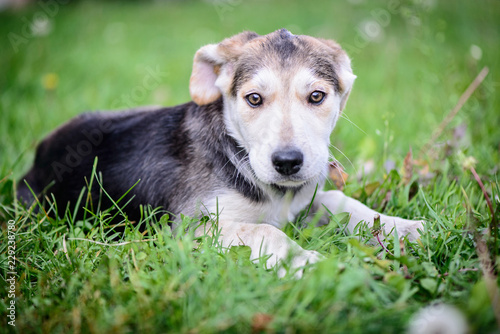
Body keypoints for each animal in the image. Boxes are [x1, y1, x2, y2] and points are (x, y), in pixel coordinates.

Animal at [18, 30, 422, 276]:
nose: (288, 163)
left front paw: (401, 227)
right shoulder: (189, 228)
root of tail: (38, 157)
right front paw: (308, 262)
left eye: (317, 96)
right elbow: (266, 232)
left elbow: (340, 200)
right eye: (254, 99)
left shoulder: (301, 203)